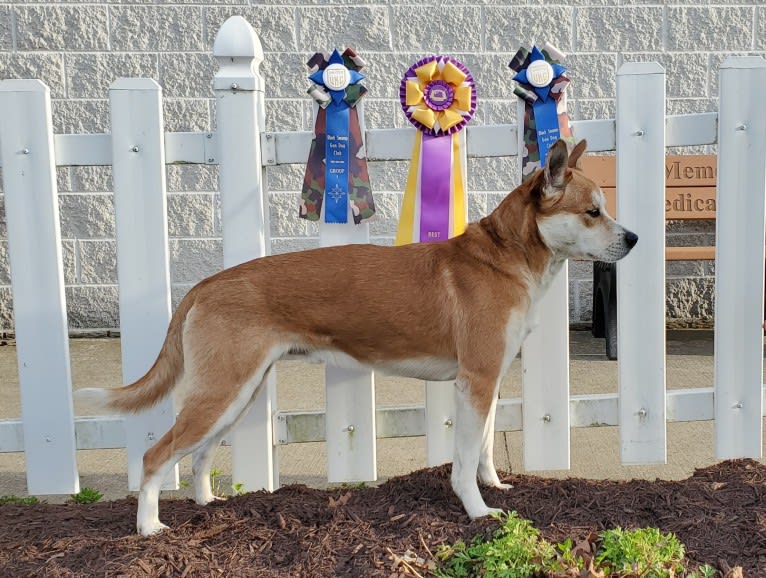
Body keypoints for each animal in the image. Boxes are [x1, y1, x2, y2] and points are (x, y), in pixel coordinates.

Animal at [81, 137, 640, 532]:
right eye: (593, 211)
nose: (634, 238)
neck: (503, 257)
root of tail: (205, 284)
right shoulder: (476, 382)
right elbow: (462, 460)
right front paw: (478, 512)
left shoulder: (489, 382)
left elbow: (482, 448)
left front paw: (494, 487)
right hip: (221, 391)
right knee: (156, 456)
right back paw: (150, 527)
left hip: (237, 392)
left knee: (199, 456)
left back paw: (209, 503)